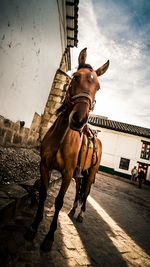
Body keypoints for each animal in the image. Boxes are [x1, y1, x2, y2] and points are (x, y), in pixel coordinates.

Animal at [24, 47, 109, 251]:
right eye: (76, 76)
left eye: (98, 87)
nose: (79, 119)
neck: (61, 139)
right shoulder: (45, 166)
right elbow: (44, 194)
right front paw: (34, 226)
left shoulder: (68, 174)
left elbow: (58, 201)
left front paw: (49, 237)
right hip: (80, 174)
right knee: (79, 190)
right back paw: (72, 210)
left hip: (90, 173)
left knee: (85, 193)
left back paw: (81, 214)